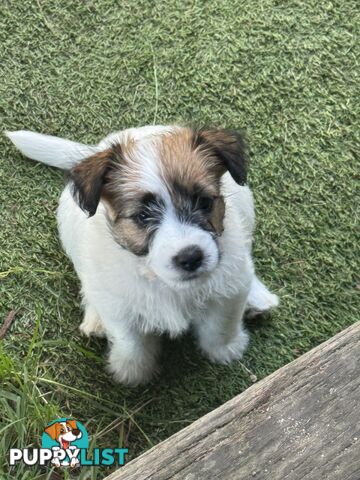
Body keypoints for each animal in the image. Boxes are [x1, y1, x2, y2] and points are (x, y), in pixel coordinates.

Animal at [7, 126, 280, 386]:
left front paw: (225, 349)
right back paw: (95, 319)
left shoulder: (227, 294)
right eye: (142, 216)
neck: (162, 281)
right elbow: (130, 342)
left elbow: (221, 325)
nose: (191, 257)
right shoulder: (120, 310)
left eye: (204, 202)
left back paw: (258, 297)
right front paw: (132, 373)